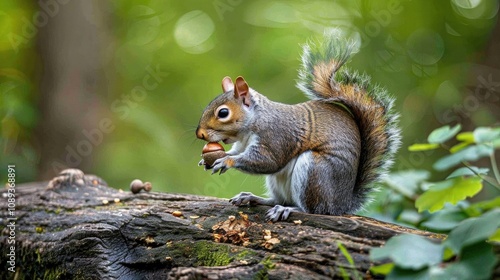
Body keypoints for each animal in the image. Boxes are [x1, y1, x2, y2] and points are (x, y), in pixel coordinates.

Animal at [197, 34, 400, 221]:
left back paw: (288, 209)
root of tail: (341, 204)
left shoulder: (276, 136)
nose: (200, 134)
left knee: (312, 209)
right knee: (279, 199)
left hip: (315, 171)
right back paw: (253, 198)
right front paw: (208, 160)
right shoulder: (241, 145)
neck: (253, 123)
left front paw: (226, 161)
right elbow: (236, 152)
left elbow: (268, 161)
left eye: (223, 113)